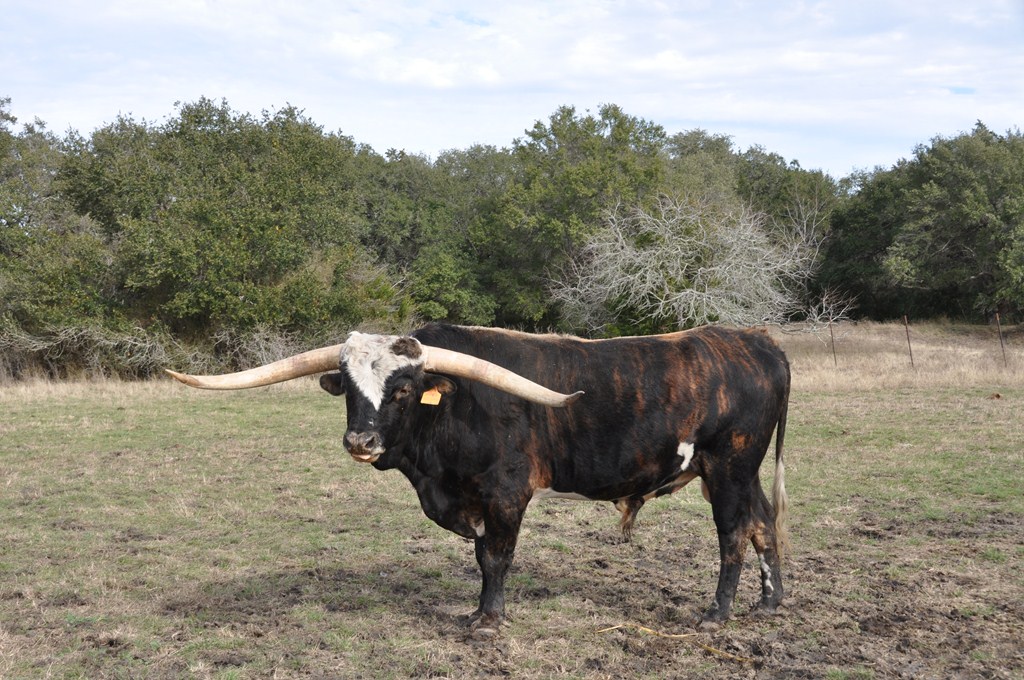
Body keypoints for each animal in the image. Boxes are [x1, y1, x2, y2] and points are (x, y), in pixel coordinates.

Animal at [167, 323, 790, 638]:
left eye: (402, 389)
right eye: (347, 385)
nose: (360, 443)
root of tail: (758, 342)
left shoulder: (507, 492)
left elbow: (495, 556)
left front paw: (488, 620)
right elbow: (478, 554)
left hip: (729, 466)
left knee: (734, 535)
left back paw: (717, 614)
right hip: (740, 471)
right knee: (764, 525)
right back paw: (769, 604)